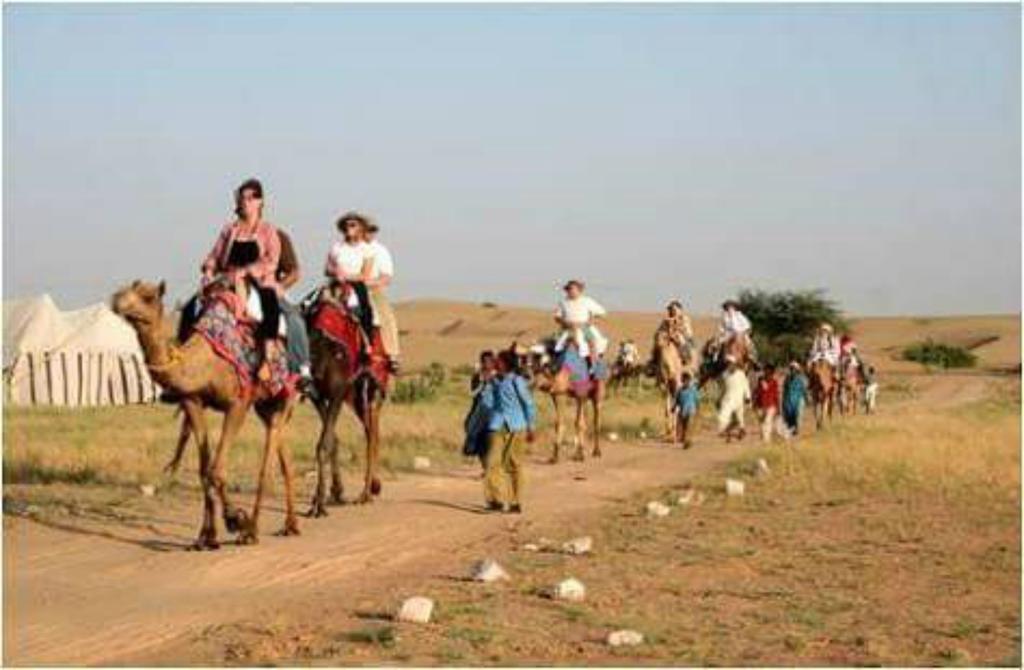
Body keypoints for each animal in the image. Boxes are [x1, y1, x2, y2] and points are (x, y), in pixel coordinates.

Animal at [115, 280, 301, 549]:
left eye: (148, 297)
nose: (117, 300)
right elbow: (205, 471)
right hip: (265, 406)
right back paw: (290, 525)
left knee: (266, 462)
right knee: (283, 453)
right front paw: (206, 537)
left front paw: (235, 519)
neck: (204, 363)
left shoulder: (237, 404)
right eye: (124, 290)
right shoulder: (193, 402)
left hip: (284, 396)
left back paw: (252, 530)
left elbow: (217, 470)